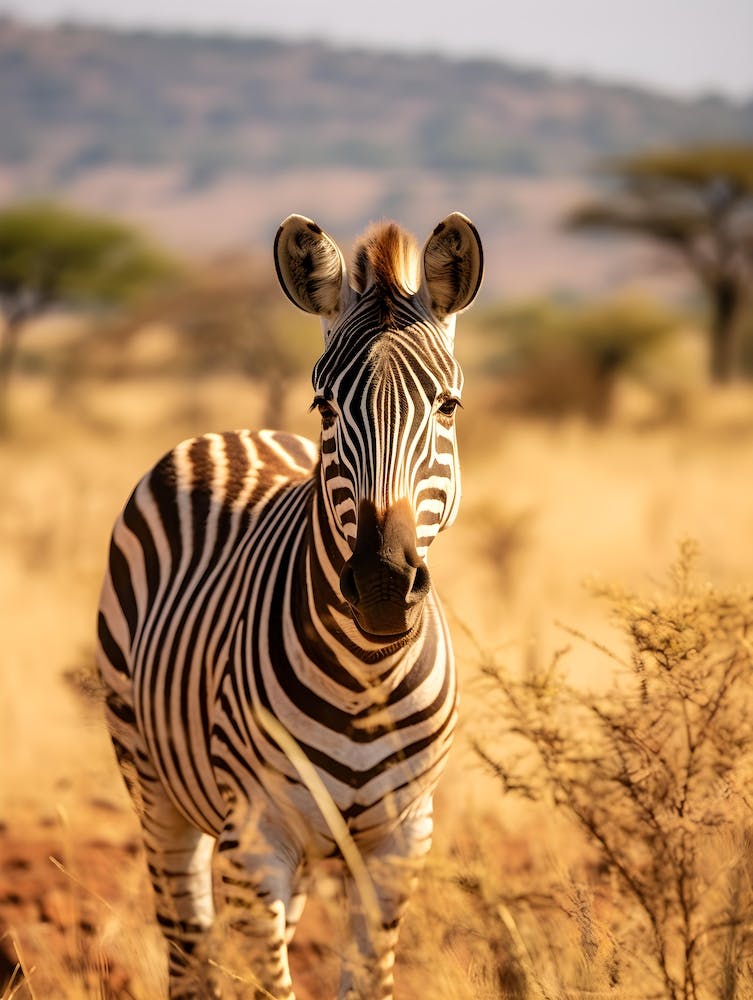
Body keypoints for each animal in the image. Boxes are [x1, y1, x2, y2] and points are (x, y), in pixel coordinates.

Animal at [96, 211, 483, 999]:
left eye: (448, 406)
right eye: (326, 406)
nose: (382, 584)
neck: (368, 673)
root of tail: (232, 434)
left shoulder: (401, 842)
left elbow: (366, 980)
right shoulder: (256, 839)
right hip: (151, 780)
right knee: (187, 941)